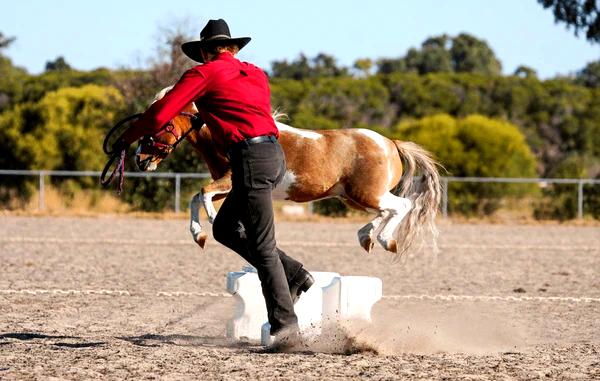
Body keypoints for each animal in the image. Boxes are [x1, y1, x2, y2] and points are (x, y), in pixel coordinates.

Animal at [135, 87, 440, 258]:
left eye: (160, 122)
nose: (140, 160)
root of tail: (391, 143)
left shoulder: (229, 182)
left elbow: (202, 194)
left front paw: (209, 222)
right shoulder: (228, 187)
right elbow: (195, 198)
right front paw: (199, 235)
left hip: (367, 194)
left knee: (403, 205)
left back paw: (386, 240)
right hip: (353, 197)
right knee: (388, 210)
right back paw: (367, 237)